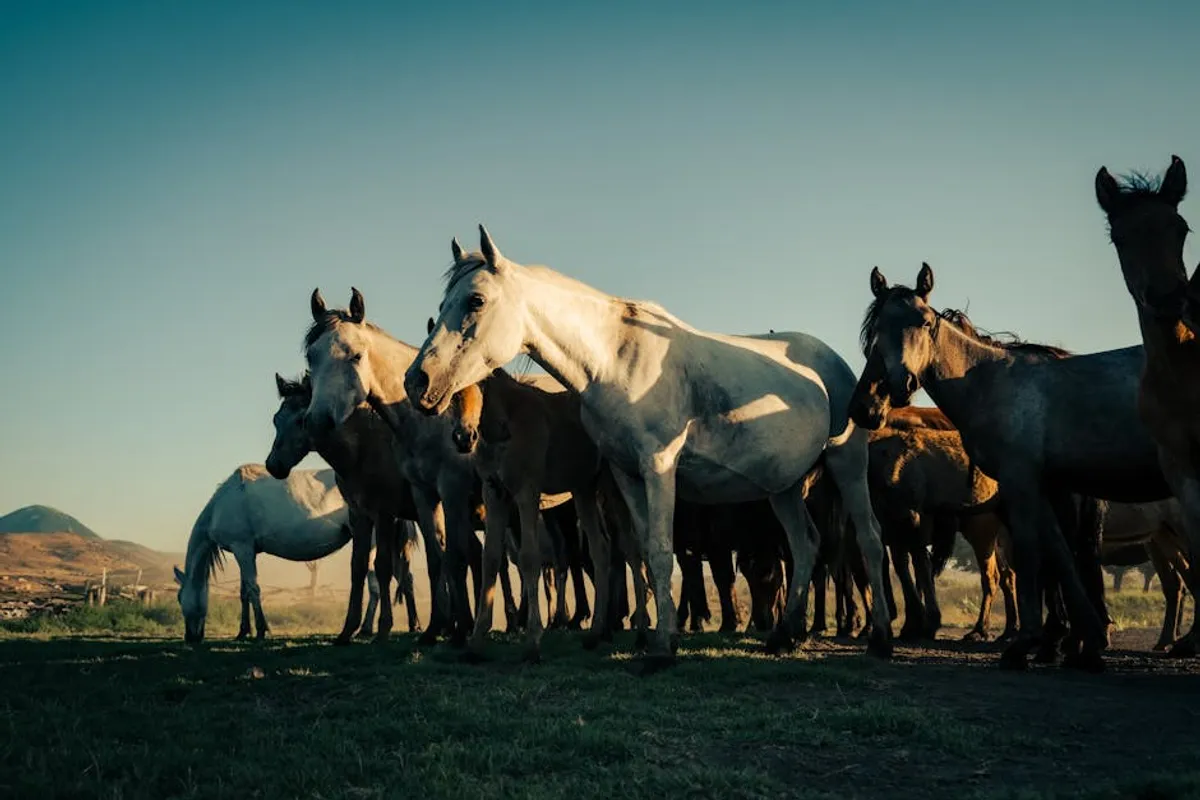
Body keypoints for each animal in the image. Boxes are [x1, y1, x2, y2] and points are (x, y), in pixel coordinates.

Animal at [174, 464, 352, 643]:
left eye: (179, 597)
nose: (189, 637)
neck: (220, 506)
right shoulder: (246, 552)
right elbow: (244, 592)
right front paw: (243, 632)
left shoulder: (242, 548)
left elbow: (253, 589)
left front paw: (260, 631)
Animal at [406, 227, 894, 664]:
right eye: (442, 304)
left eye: (476, 300)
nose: (417, 382)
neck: (613, 360)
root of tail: (829, 361)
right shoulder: (626, 474)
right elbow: (640, 550)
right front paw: (663, 635)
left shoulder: (658, 465)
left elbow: (659, 549)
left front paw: (660, 649)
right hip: (782, 487)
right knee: (805, 544)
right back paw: (783, 636)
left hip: (847, 462)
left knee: (870, 539)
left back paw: (881, 640)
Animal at [849, 262, 1173, 671]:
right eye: (875, 330)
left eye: (924, 322)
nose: (894, 387)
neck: (993, 384)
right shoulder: (1042, 488)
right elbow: (1058, 556)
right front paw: (1086, 640)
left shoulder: (1021, 484)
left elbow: (1032, 556)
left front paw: (1025, 645)